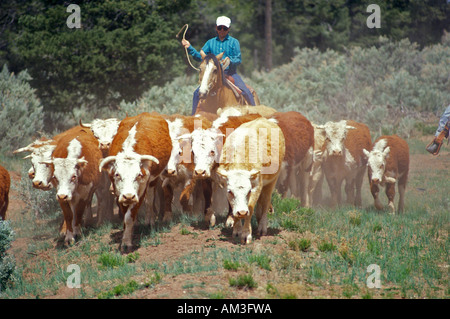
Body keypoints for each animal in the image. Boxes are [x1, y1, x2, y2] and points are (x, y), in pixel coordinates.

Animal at [99, 112, 171, 252]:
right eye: (117, 174)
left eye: (139, 175)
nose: (129, 196)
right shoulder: (119, 193)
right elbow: (126, 216)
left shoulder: (141, 191)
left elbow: (129, 216)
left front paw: (126, 243)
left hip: (152, 181)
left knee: (150, 199)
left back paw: (149, 220)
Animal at [215, 117, 284, 245]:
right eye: (230, 192)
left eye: (249, 191)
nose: (242, 212)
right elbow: (233, 207)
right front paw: (237, 231)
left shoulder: (257, 186)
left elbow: (250, 208)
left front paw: (246, 234)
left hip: (272, 181)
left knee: (266, 202)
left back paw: (262, 227)